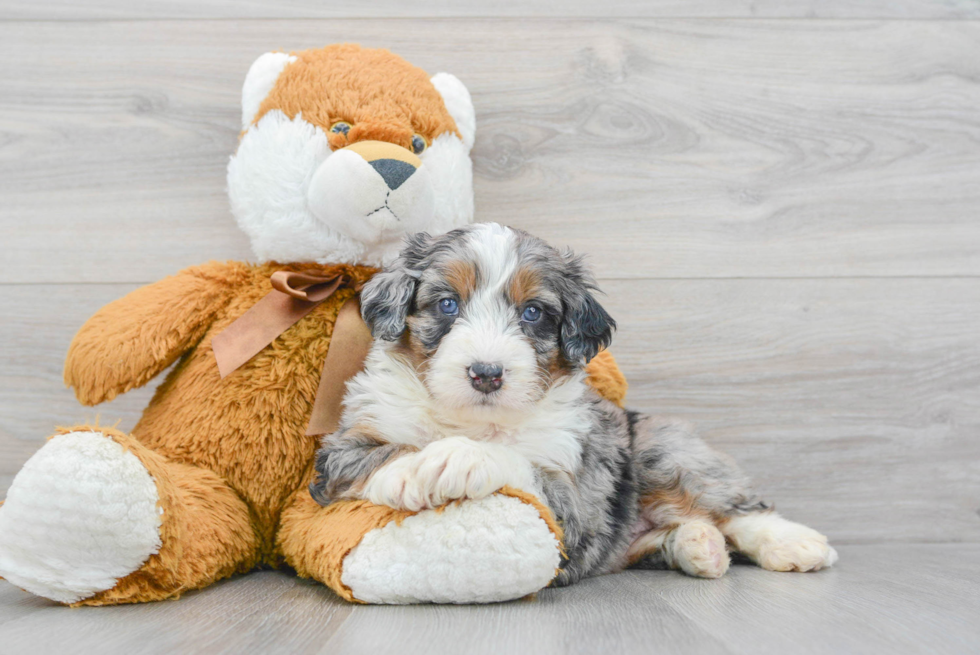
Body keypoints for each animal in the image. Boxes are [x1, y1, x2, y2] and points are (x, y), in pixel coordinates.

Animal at [308, 224, 836, 584]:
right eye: (447, 304)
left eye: (533, 312)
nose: (486, 373)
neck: (471, 419)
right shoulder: (343, 446)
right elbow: (374, 454)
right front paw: (406, 470)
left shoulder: (575, 499)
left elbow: (515, 460)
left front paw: (455, 458)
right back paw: (698, 545)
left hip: (664, 450)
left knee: (734, 507)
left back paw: (796, 543)